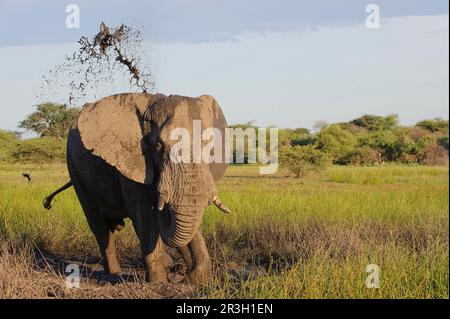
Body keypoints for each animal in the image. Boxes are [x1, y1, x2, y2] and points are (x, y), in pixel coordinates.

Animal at [44, 93, 232, 284]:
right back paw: (114, 275)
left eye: (209, 146)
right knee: (99, 226)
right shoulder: (131, 163)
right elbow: (146, 216)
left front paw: (197, 278)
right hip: (75, 169)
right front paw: (159, 283)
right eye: (158, 146)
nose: (184, 275)